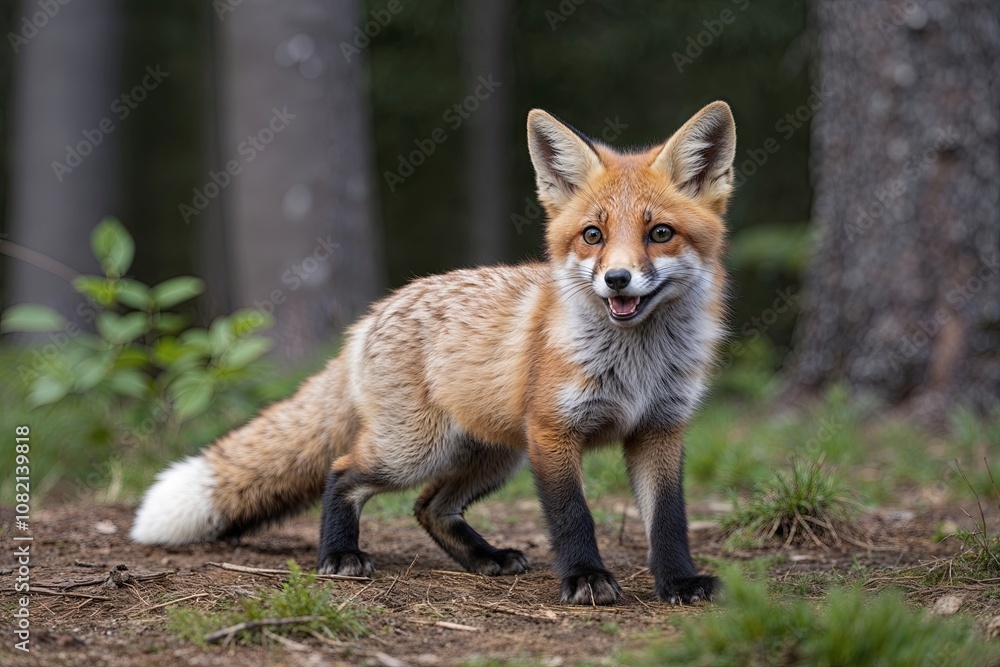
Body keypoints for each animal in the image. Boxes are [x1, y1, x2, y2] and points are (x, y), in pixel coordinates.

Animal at [132, 101, 736, 605]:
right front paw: (586, 578)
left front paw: (679, 582)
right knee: (344, 472)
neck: (636, 367)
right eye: (593, 235)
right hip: (416, 450)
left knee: (429, 506)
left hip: (493, 454)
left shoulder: (660, 430)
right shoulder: (553, 433)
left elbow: (669, 521)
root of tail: (373, 314)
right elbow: (572, 517)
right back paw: (339, 554)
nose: (617, 280)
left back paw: (485, 557)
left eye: (660, 233)